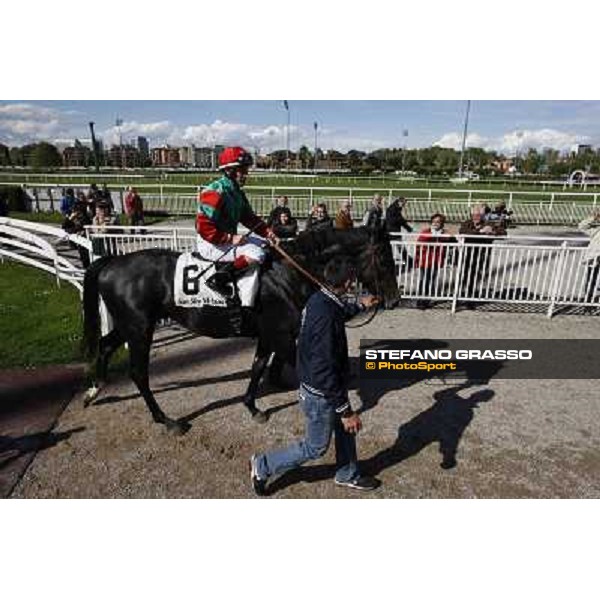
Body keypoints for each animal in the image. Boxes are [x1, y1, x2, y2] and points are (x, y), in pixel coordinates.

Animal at [79, 224, 398, 432]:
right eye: (384, 259)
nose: (393, 300)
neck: (287, 272)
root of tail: (113, 262)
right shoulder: (280, 335)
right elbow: (294, 364)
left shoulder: (269, 335)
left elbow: (257, 367)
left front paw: (252, 406)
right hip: (139, 328)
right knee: (138, 372)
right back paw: (166, 420)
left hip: (130, 325)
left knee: (105, 346)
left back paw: (94, 390)